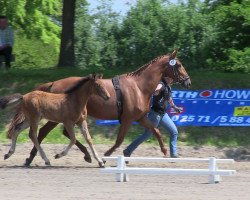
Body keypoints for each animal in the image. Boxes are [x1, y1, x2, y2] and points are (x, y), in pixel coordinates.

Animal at [8, 49, 190, 166]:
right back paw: (36, 158)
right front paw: (106, 156)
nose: (188, 81)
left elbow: (156, 130)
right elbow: (119, 140)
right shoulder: (127, 119)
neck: (138, 87)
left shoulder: (140, 117)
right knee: (43, 133)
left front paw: (165, 150)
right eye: (179, 64)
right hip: (57, 117)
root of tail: (54, 83)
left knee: (50, 133)